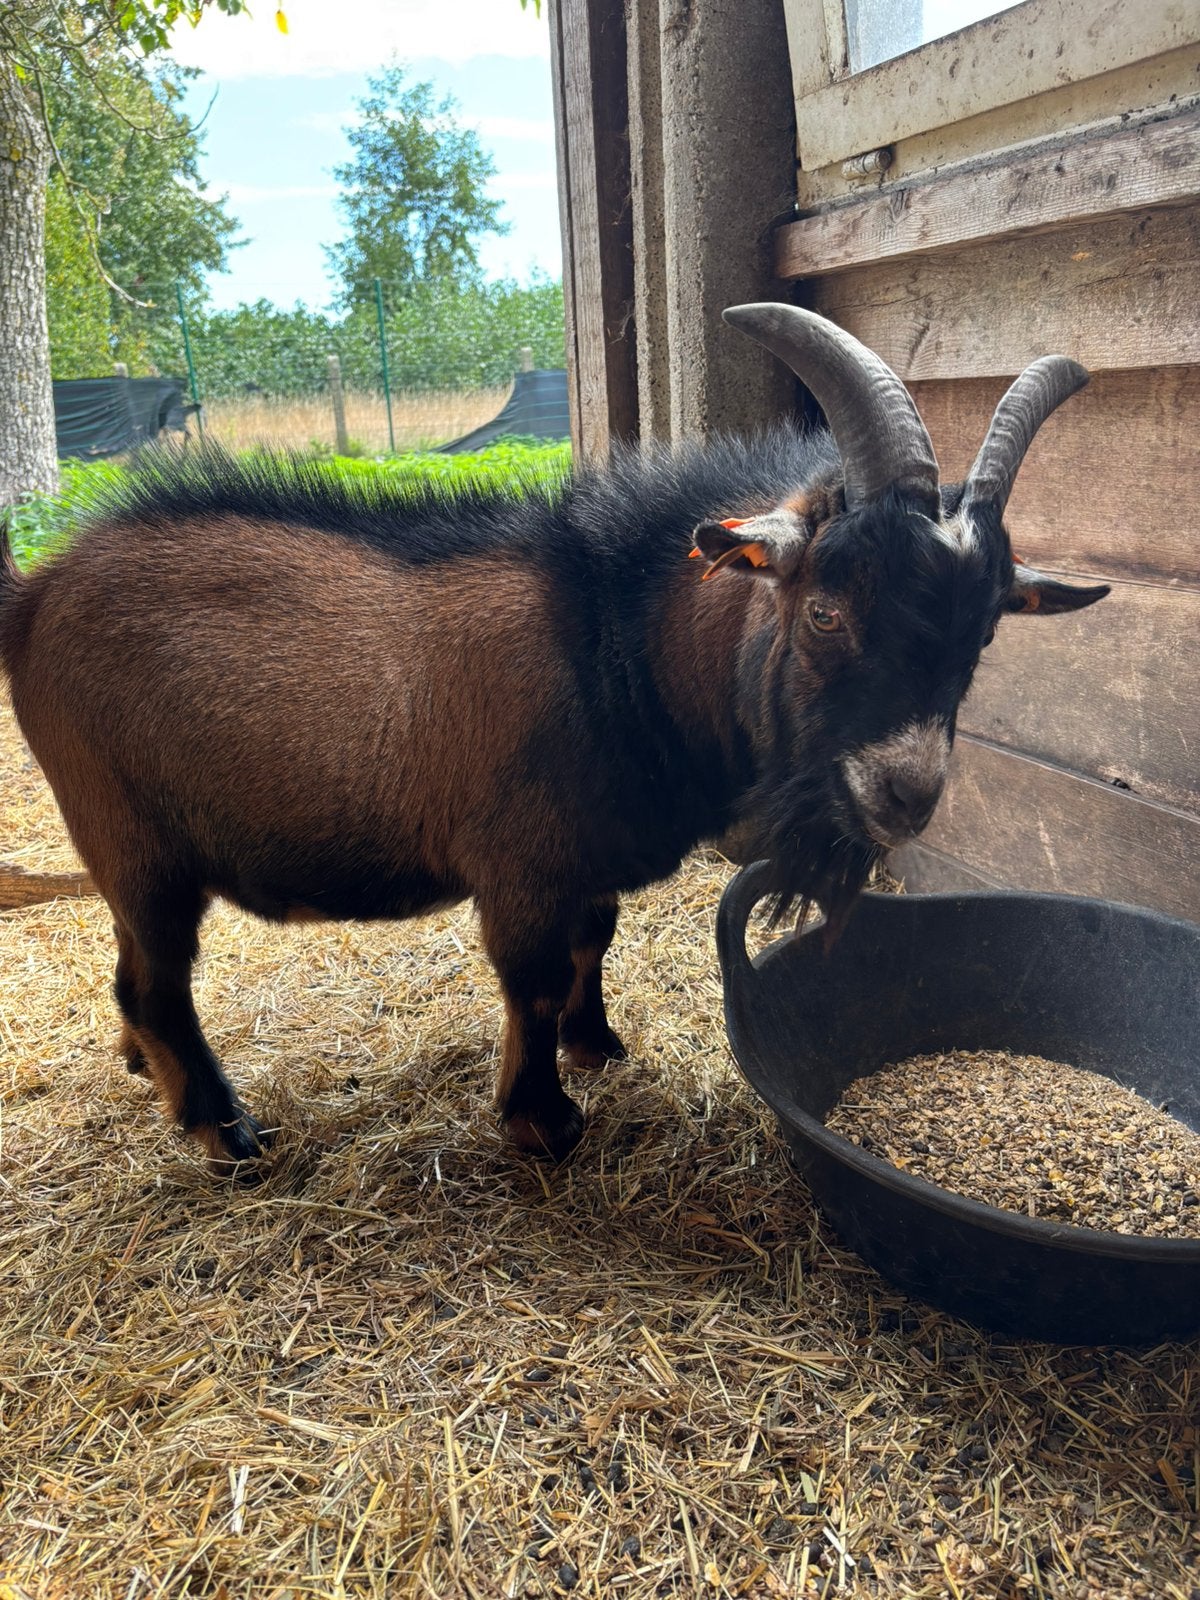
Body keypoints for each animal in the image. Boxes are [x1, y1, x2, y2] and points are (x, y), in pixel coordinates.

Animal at [0, 306, 1108, 1170]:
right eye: (827, 610)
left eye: (986, 628)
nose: (907, 793)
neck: (609, 639)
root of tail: (36, 592)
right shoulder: (523, 865)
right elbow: (529, 980)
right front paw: (542, 1121)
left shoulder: (586, 862)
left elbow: (592, 944)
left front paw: (598, 1044)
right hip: (135, 839)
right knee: (153, 980)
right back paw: (223, 1127)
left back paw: (145, 1068)